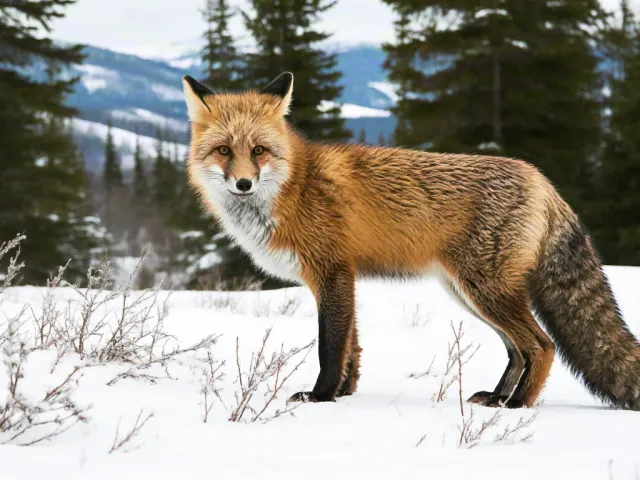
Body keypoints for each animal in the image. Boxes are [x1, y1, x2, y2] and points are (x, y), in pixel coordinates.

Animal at [182, 71, 640, 410]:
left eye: (259, 150)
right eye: (224, 150)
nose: (243, 184)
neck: (293, 187)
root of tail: (542, 179)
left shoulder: (332, 273)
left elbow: (331, 348)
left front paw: (321, 397)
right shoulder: (339, 279)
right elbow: (352, 349)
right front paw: (345, 394)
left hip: (485, 291)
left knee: (541, 347)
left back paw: (517, 405)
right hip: (469, 293)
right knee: (518, 351)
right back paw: (496, 397)